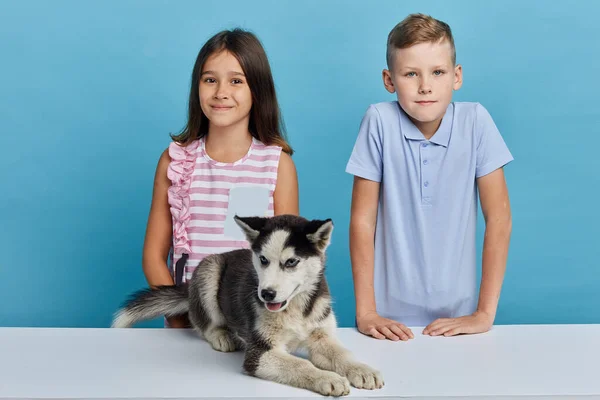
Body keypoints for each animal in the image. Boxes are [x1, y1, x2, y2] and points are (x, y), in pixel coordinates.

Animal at [112, 214, 384, 396]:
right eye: (263, 260)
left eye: (291, 262)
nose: (266, 294)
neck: (294, 308)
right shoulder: (259, 354)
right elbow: (300, 363)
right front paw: (326, 377)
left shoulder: (321, 335)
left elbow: (342, 353)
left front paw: (362, 369)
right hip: (210, 270)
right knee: (203, 323)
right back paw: (222, 335)